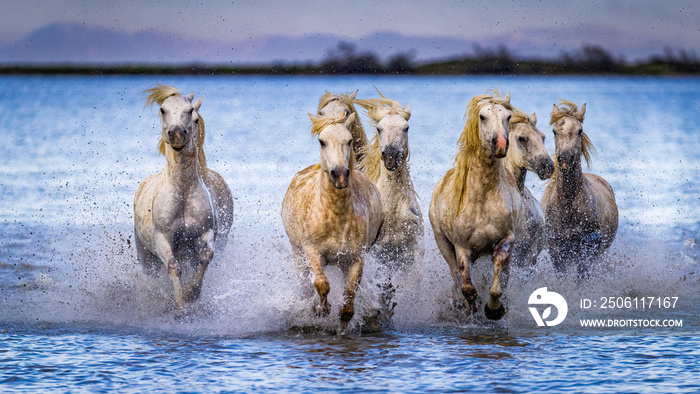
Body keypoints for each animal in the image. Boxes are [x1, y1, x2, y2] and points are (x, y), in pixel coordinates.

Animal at [134, 84, 235, 312]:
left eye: (190, 112)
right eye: (162, 110)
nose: (178, 134)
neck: (182, 192)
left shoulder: (204, 233)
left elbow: (205, 257)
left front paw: (191, 292)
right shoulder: (162, 239)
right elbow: (173, 267)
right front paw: (180, 306)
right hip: (146, 257)